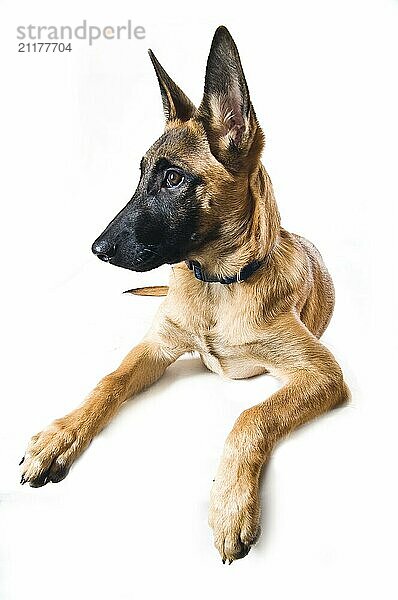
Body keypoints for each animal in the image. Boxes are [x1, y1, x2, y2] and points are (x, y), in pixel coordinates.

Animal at [19, 27, 348, 564]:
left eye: (172, 178)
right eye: (139, 175)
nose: (97, 250)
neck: (217, 283)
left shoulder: (322, 372)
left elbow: (252, 414)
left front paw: (230, 504)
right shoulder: (156, 345)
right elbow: (109, 380)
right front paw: (60, 435)